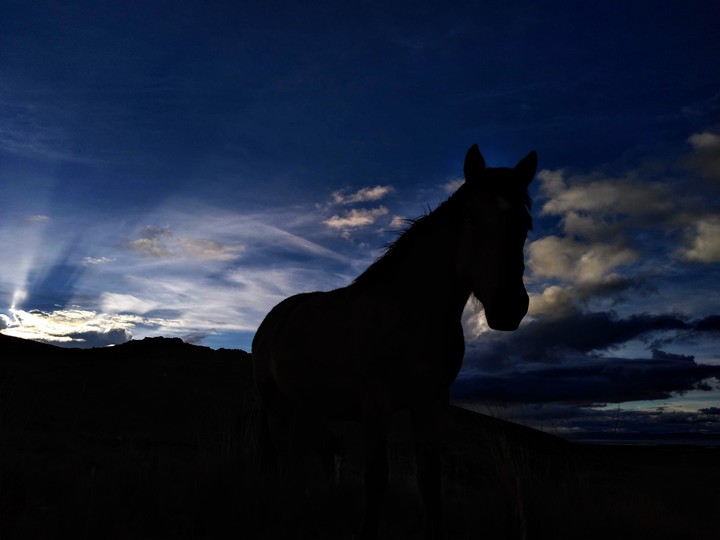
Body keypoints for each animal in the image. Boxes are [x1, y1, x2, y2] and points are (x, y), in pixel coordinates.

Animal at [252, 144, 536, 539]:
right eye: (471, 218)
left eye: (526, 224)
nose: (509, 307)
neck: (411, 312)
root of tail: (273, 317)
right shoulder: (376, 405)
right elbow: (376, 481)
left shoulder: (431, 404)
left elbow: (430, 484)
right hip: (276, 403)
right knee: (285, 457)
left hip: (306, 405)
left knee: (309, 453)